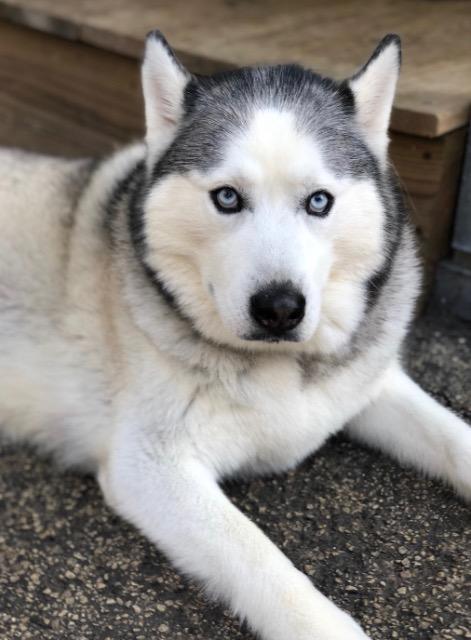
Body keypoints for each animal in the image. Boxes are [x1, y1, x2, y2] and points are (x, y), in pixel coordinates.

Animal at [0, 32, 471, 640]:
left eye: (319, 201)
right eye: (227, 197)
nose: (279, 309)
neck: (280, 367)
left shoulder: (370, 384)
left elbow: (454, 439)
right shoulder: (149, 463)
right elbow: (260, 557)